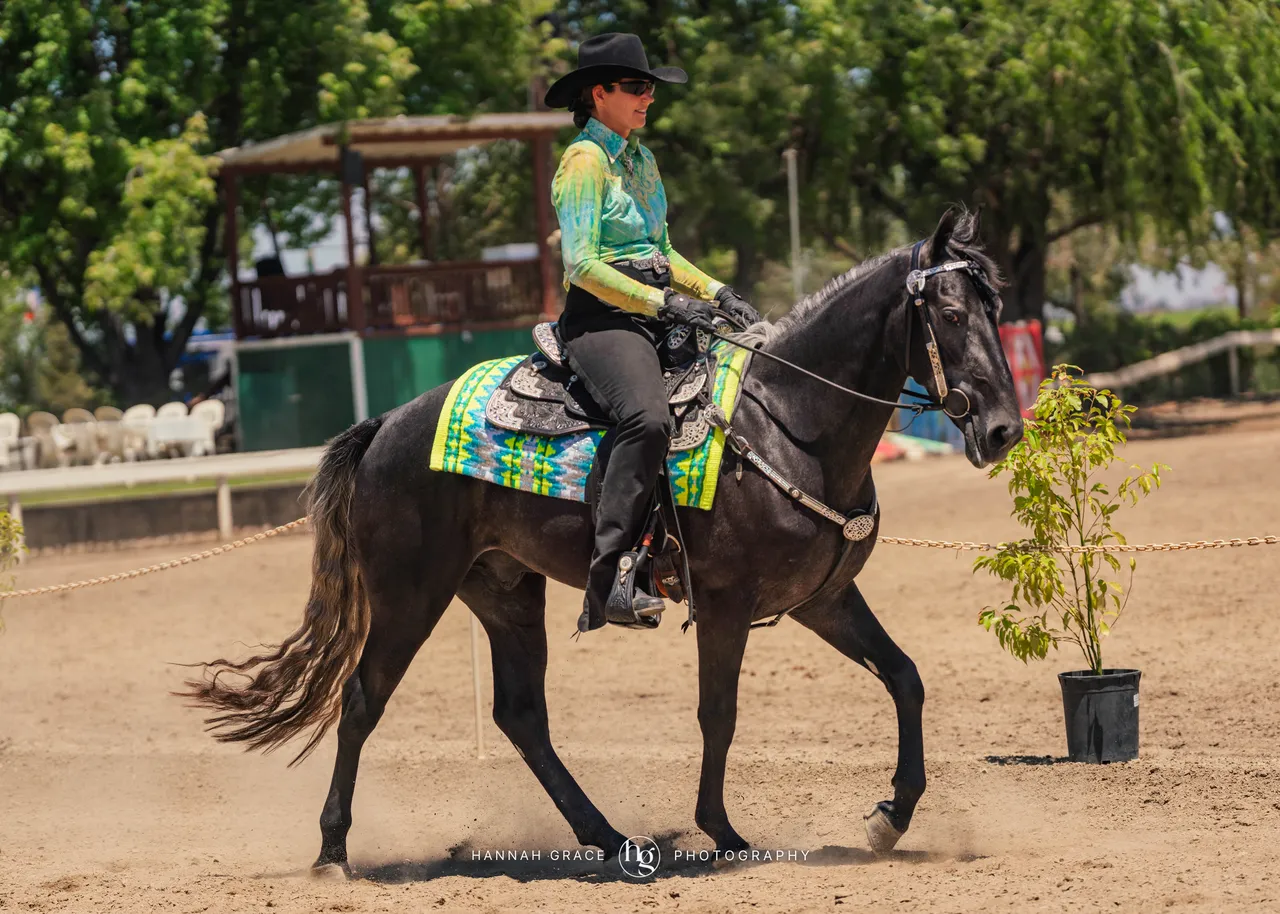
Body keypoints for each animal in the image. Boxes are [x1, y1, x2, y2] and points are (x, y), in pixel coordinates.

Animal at [181, 207, 1024, 877]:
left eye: (998, 306)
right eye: (951, 314)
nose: (1004, 430)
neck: (787, 423)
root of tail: (387, 423)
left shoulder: (825, 598)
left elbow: (905, 677)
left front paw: (891, 816)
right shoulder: (727, 606)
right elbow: (719, 714)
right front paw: (724, 832)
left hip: (504, 592)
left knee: (521, 716)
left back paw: (613, 841)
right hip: (408, 593)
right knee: (362, 701)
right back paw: (332, 852)